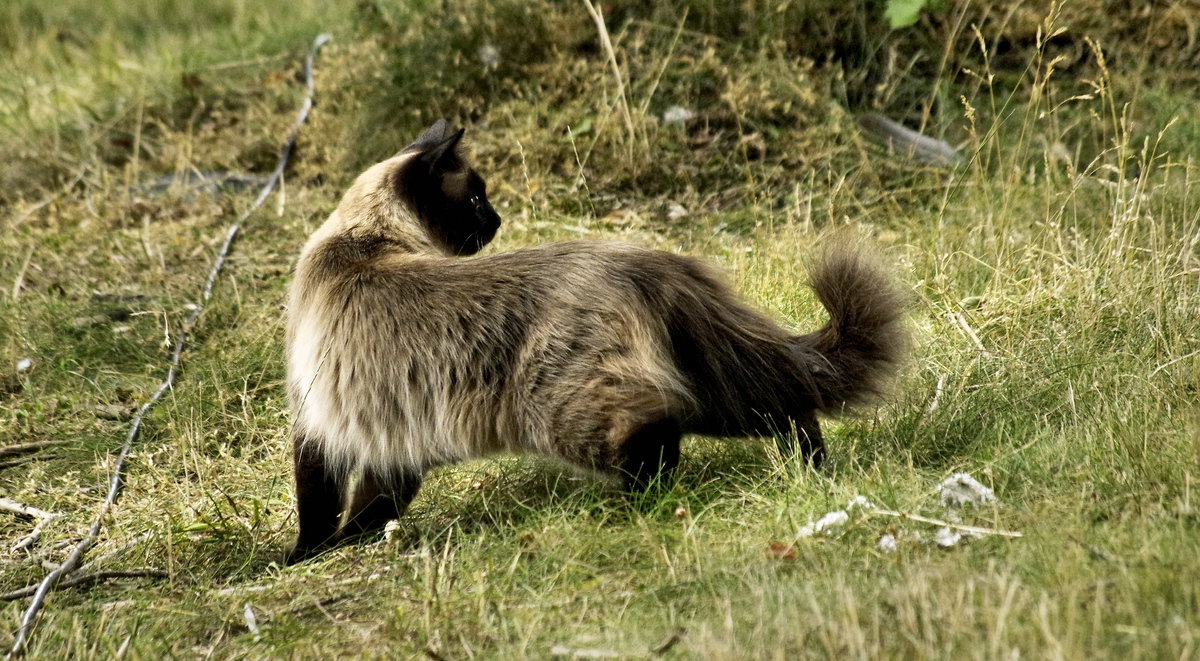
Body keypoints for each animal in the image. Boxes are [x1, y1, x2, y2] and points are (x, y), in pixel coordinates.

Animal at [280, 120, 902, 563]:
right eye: (477, 202)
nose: (497, 221)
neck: (364, 237)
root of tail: (642, 261)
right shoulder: (385, 433)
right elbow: (364, 502)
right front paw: (343, 545)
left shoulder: (323, 421)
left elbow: (323, 505)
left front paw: (310, 556)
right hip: (715, 387)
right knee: (783, 405)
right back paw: (811, 472)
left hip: (561, 409)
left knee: (656, 428)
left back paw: (639, 504)